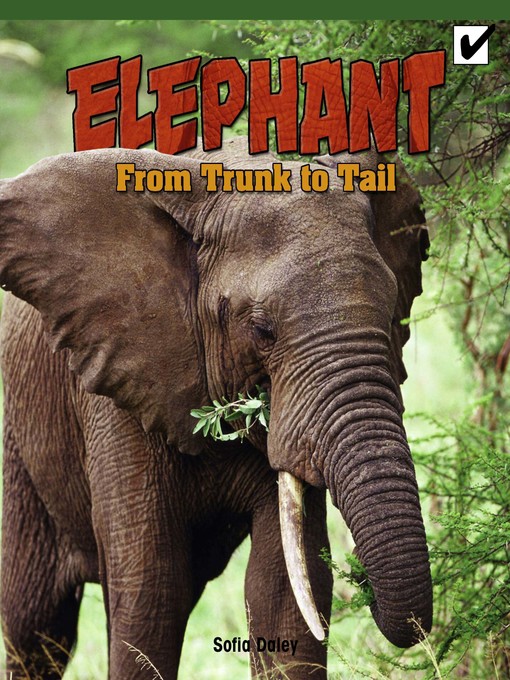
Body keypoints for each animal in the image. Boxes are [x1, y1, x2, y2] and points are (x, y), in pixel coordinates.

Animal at [0, 137, 432, 679]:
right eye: (262, 330)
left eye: (393, 309)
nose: (364, 581)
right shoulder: (116, 398)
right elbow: (151, 596)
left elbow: (285, 594)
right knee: (34, 624)